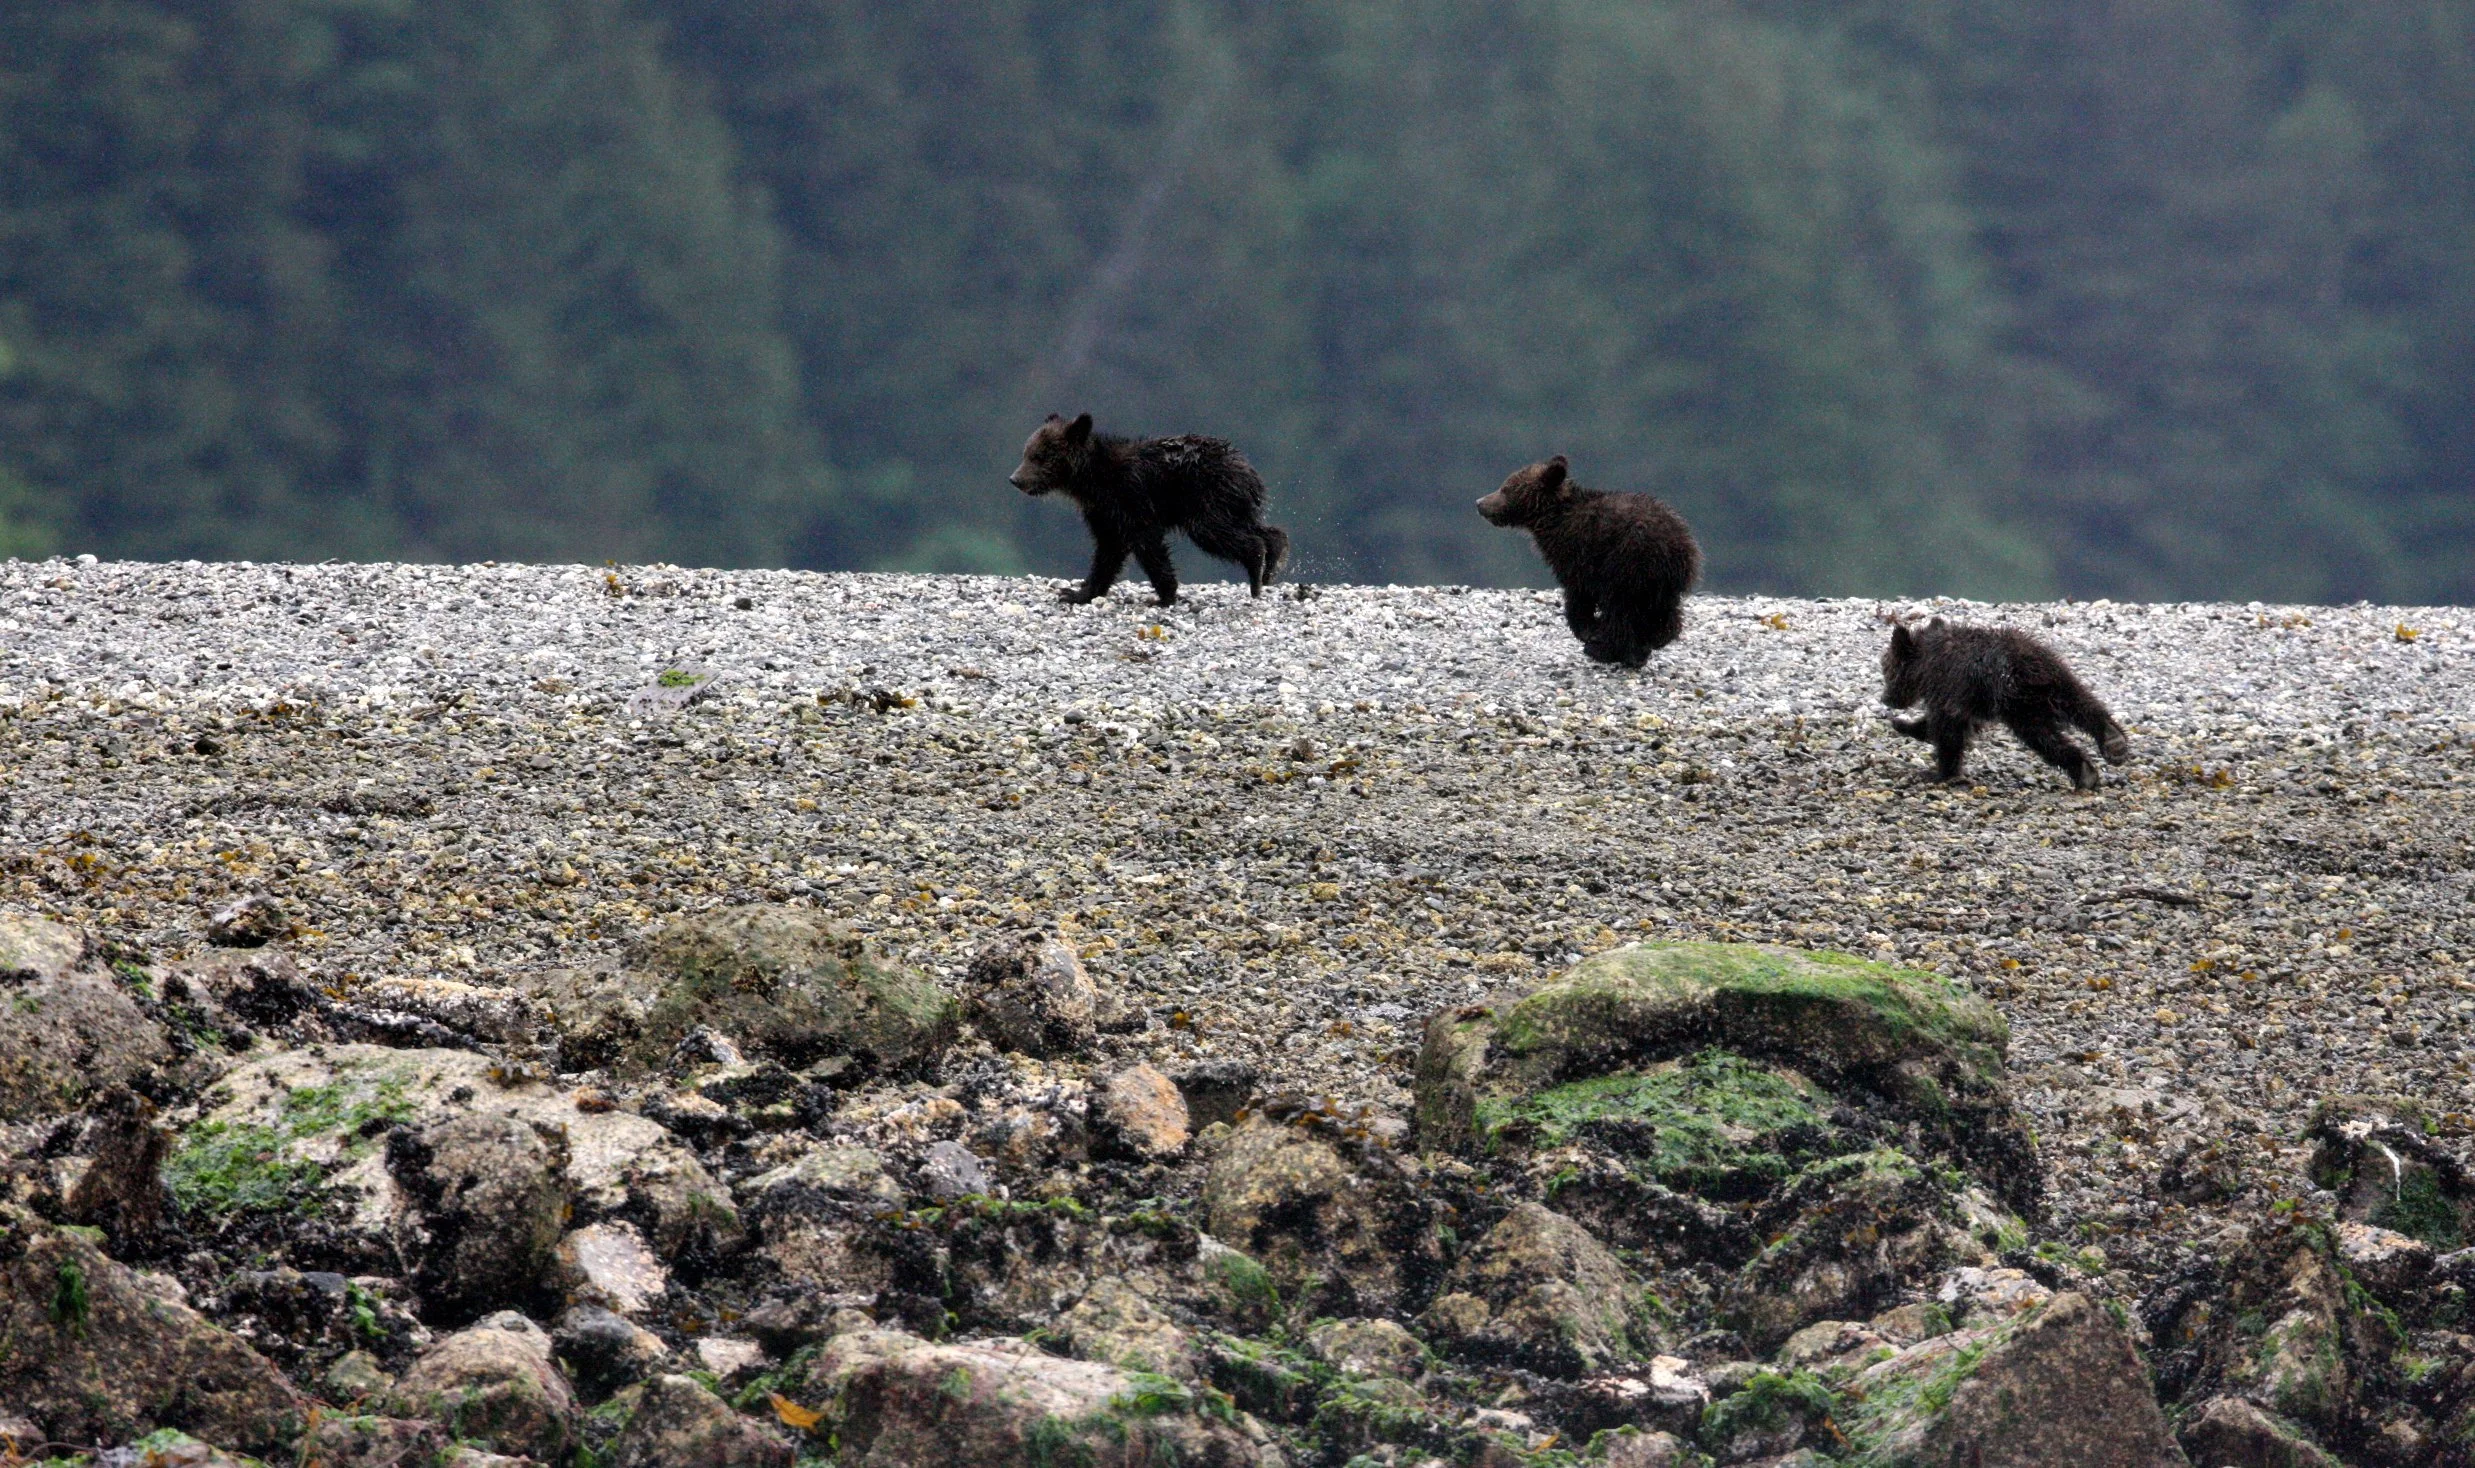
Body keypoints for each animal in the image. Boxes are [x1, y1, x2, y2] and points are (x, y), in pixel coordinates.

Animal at [1009, 413, 1290, 606]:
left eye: (1039, 456)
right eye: (1026, 452)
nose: (1015, 479)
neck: (1092, 479)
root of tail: (1248, 469)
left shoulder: (1130, 497)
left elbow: (1147, 544)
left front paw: (1164, 595)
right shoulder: (1103, 512)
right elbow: (1108, 551)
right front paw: (1078, 593)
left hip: (1207, 497)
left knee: (1217, 533)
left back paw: (1255, 571)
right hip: (1233, 502)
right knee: (1257, 528)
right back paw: (1271, 564)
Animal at [1476, 455, 1700, 668]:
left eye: (1506, 488)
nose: (1480, 503)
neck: (1552, 519)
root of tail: (1675, 546)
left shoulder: (1578, 552)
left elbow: (1579, 593)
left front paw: (1588, 631)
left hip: (1628, 564)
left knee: (1620, 608)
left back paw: (1603, 649)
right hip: (1664, 582)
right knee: (1662, 613)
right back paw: (1647, 645)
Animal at [1879, 617, 2132, 789]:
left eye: (1886, 669)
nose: (1886, 699)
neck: (1923, 666)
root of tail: (2029, 665)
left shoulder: (1949, 688)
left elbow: (1948, 729)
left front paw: (1939, 772)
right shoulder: (1969, 699)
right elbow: (1964, 723)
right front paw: (1904, 725)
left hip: (2018, 702)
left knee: (2042, 736)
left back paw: (2084, 771)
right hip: (2059, 676)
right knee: (2082, 703)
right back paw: (2112, 740)